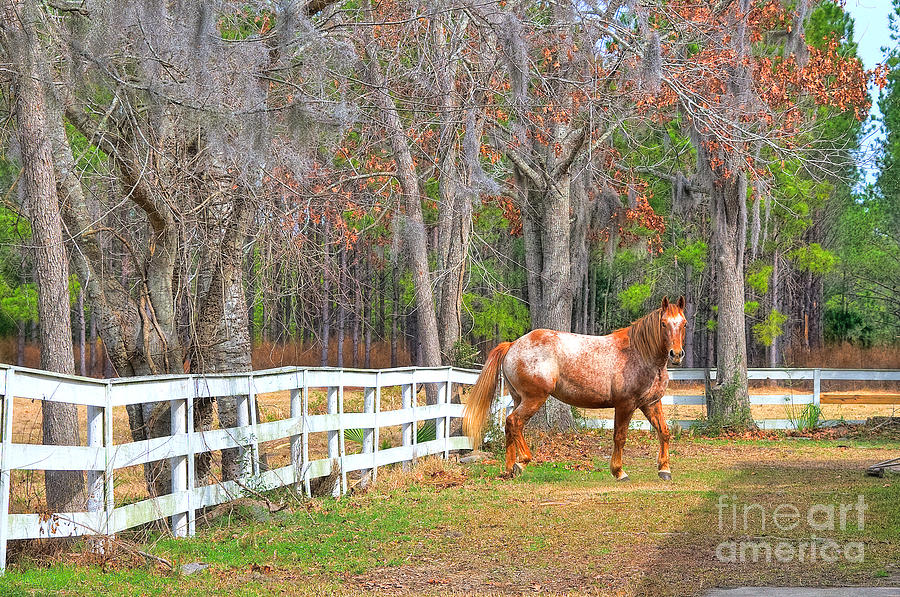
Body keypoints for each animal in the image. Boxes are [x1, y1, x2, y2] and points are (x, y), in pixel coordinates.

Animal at [464, 296, 688, 482]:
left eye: (684, 323)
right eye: (663, 323)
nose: (676, 354)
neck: (639, 354)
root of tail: (512, 345)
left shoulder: (651, 403)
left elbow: (664, 432)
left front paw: (664, 469)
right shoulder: (625, 405)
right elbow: (620, 437)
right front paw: (619, 472)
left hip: (519, 398)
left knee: (509, 426)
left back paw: (510, 468)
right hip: (534, 398)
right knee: (514, 422)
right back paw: (523, 461)